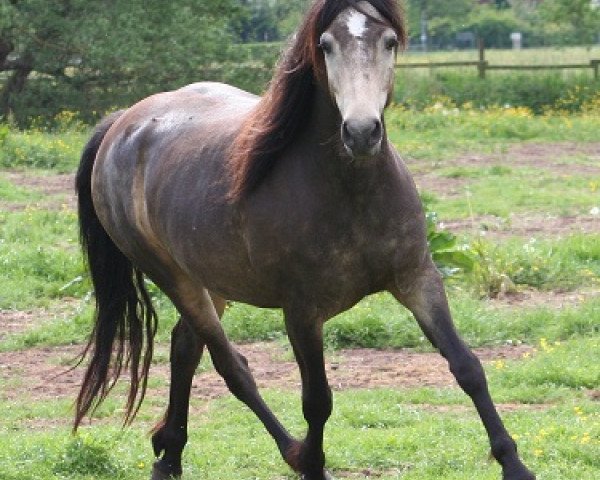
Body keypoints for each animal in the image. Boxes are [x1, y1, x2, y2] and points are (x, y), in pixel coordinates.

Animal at [72, 1, 536, 478]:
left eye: (389, 41)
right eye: (326, 45)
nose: (362, 132)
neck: (353, 193)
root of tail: (121, 125)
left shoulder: (418, 279)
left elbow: (467, 366)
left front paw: (513, 464)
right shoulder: (301, 312)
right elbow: (317, 401)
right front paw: (313, 463)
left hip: (209, 280)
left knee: (185, 349)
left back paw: (170, 455)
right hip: (172, 277)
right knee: (230, 365)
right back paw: (285, 451)